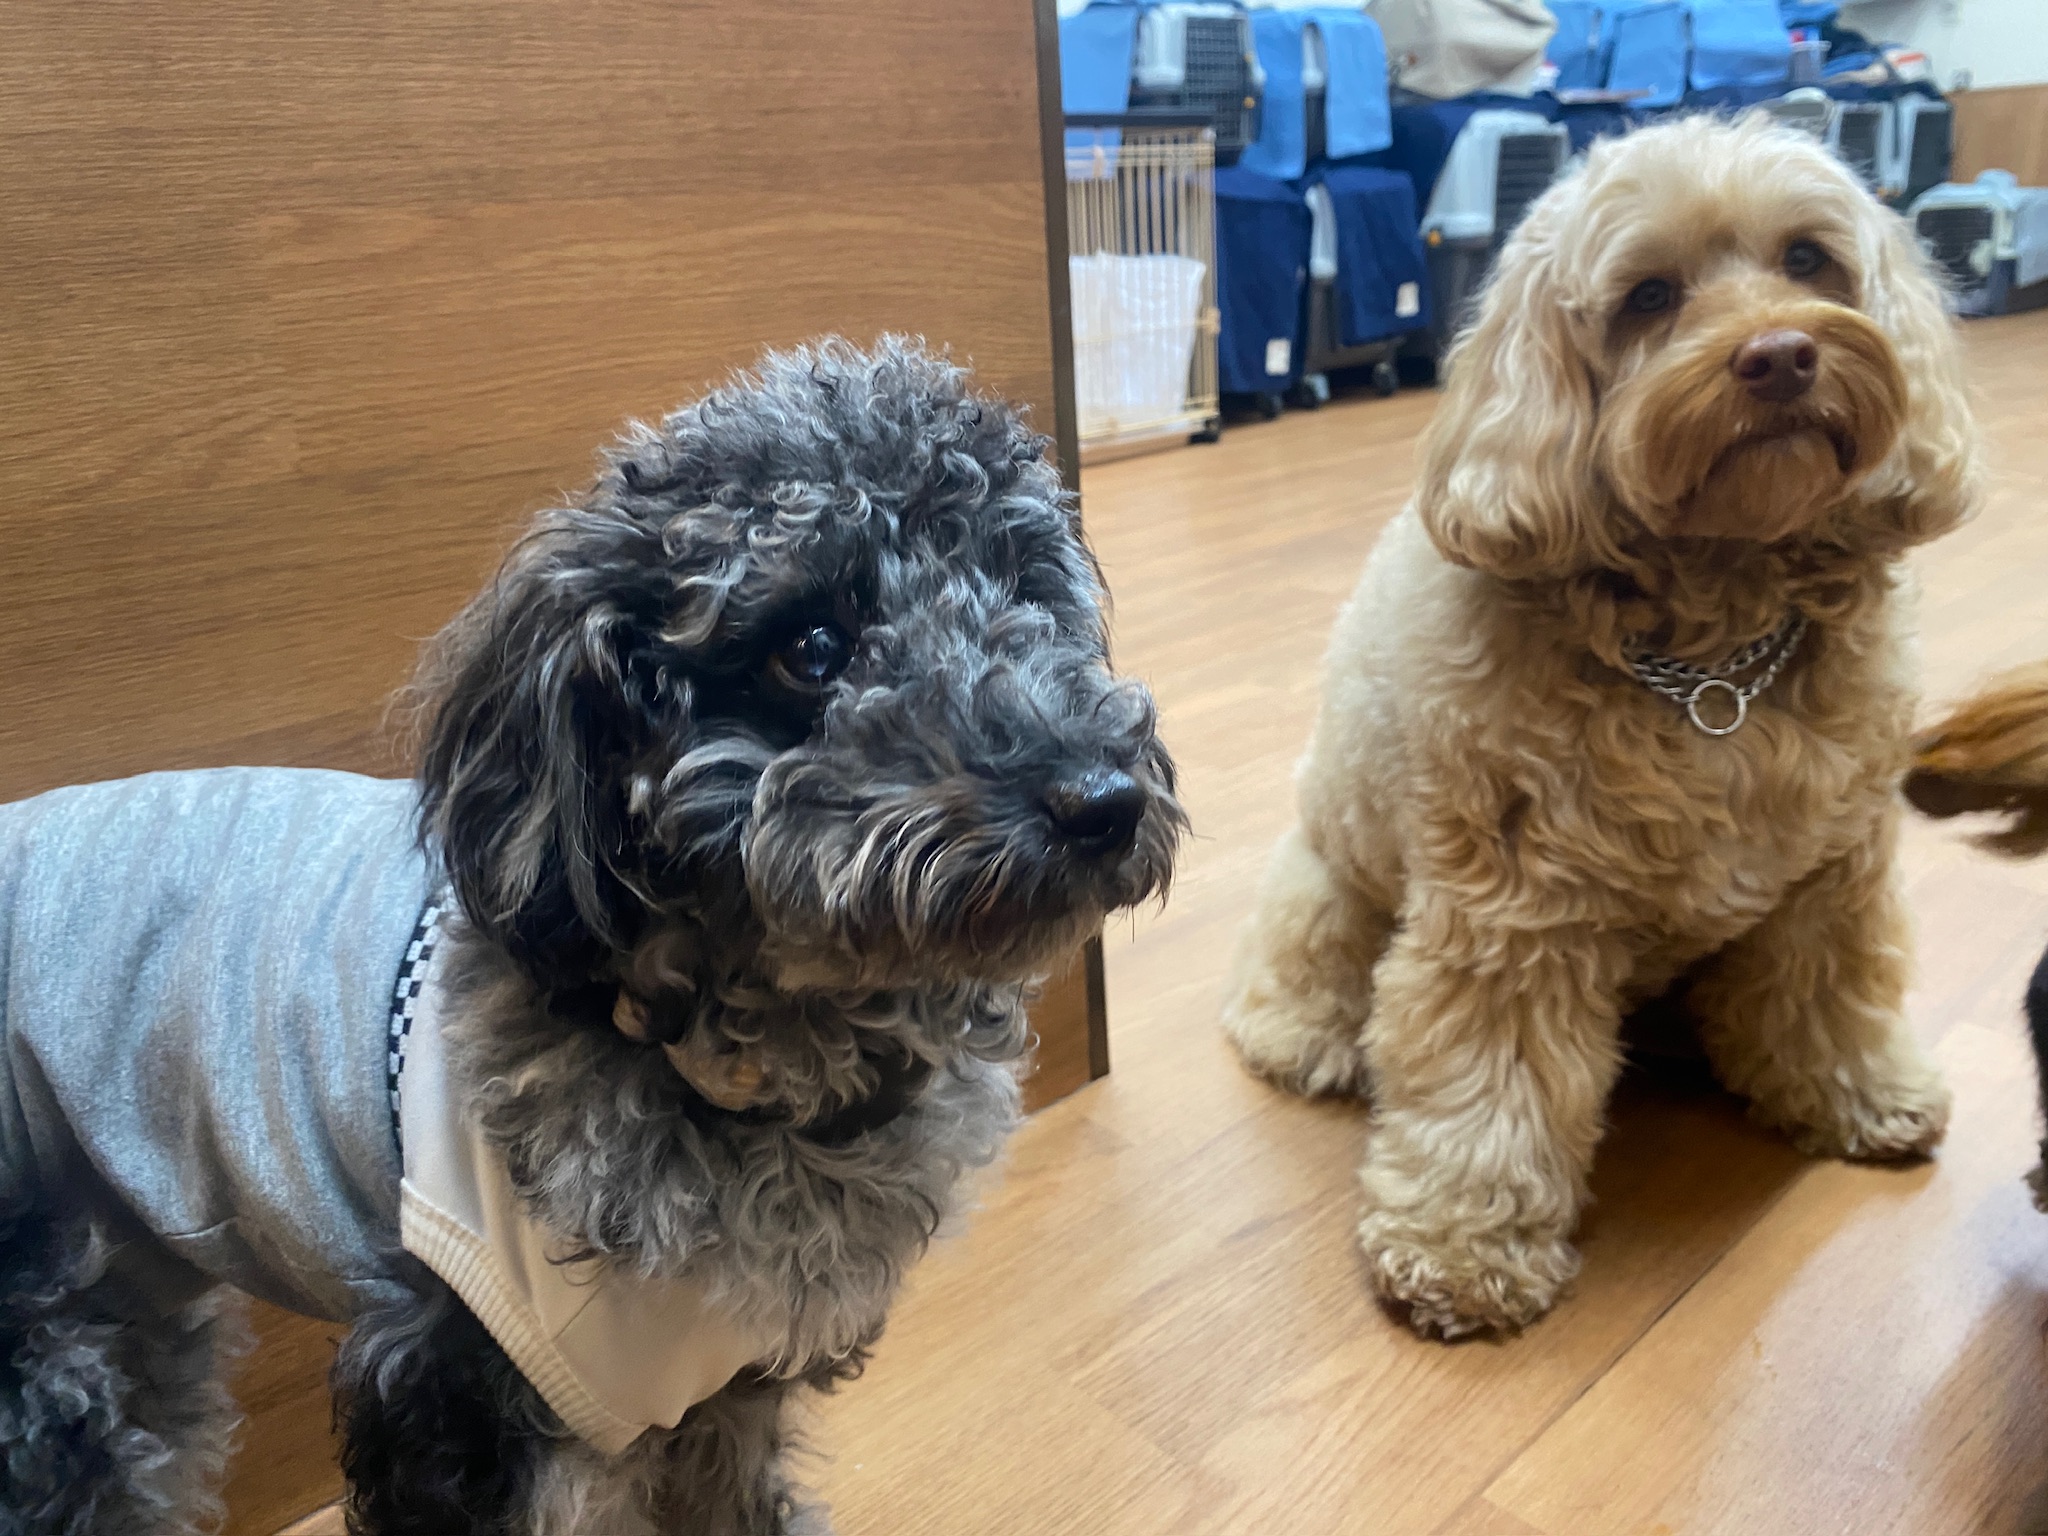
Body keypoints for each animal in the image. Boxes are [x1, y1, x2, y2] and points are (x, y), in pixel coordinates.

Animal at [0, 338, 1182, 1536]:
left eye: (1028, 594)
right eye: (813, 646)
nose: (1102, 800)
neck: (744, 1080)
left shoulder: (723, 1392)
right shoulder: (457, 1395)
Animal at [1220, 114, 1982, 1338]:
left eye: (1808, 260)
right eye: (1648, 295)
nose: (1779, 356)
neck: (1712, 665)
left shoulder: (1831, 881)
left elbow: (1828, 996)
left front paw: (1858, 1093)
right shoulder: (1513, 915)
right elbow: (1490, 1078)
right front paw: (1464, 1245)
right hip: (1327, 887)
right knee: (1305, 983)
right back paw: (1310, 1039)